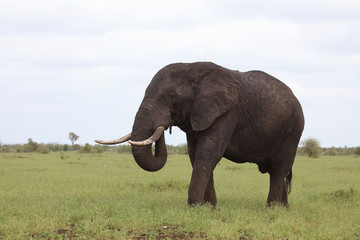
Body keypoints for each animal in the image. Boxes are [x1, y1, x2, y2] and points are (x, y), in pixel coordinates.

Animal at [95, 62, 304, 208]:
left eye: (172, 97)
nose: (163, 125)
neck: (193, 68)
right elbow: (195, 155)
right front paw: (208, 209)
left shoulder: (228, 112)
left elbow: (208, 153)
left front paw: (193, 208)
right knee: (278, 172)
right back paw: (284, 209)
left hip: (293, 130)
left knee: (279, 169)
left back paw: (272, 209)